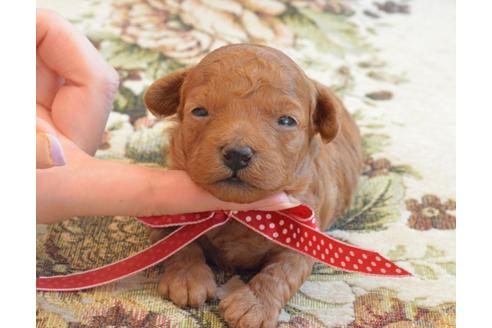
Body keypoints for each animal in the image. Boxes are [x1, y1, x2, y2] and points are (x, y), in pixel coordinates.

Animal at [144, 44, 364, 328]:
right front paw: (188, 278)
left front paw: (254, 306)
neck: (239, 211)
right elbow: (179, 243)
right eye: (199, 111)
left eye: (286, 121)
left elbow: (282, 273)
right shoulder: (169, 211)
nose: (237, 154)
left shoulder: (304, 242)